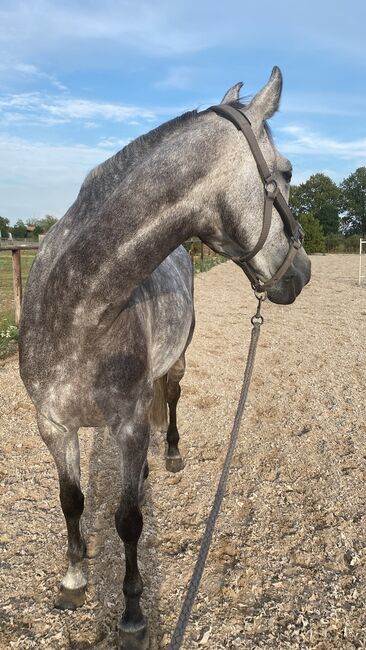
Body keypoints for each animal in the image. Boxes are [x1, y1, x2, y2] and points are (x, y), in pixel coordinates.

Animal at [18, 68, 310, 644]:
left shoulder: (130, 423)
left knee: (170, 401)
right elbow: (72, 501)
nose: (303, 272)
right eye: (286, 171)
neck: (79, 307)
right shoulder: (53, 424)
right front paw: (74, 581)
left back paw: (169, 455)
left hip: (175, 367)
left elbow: (129, 521)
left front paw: (133, 617)